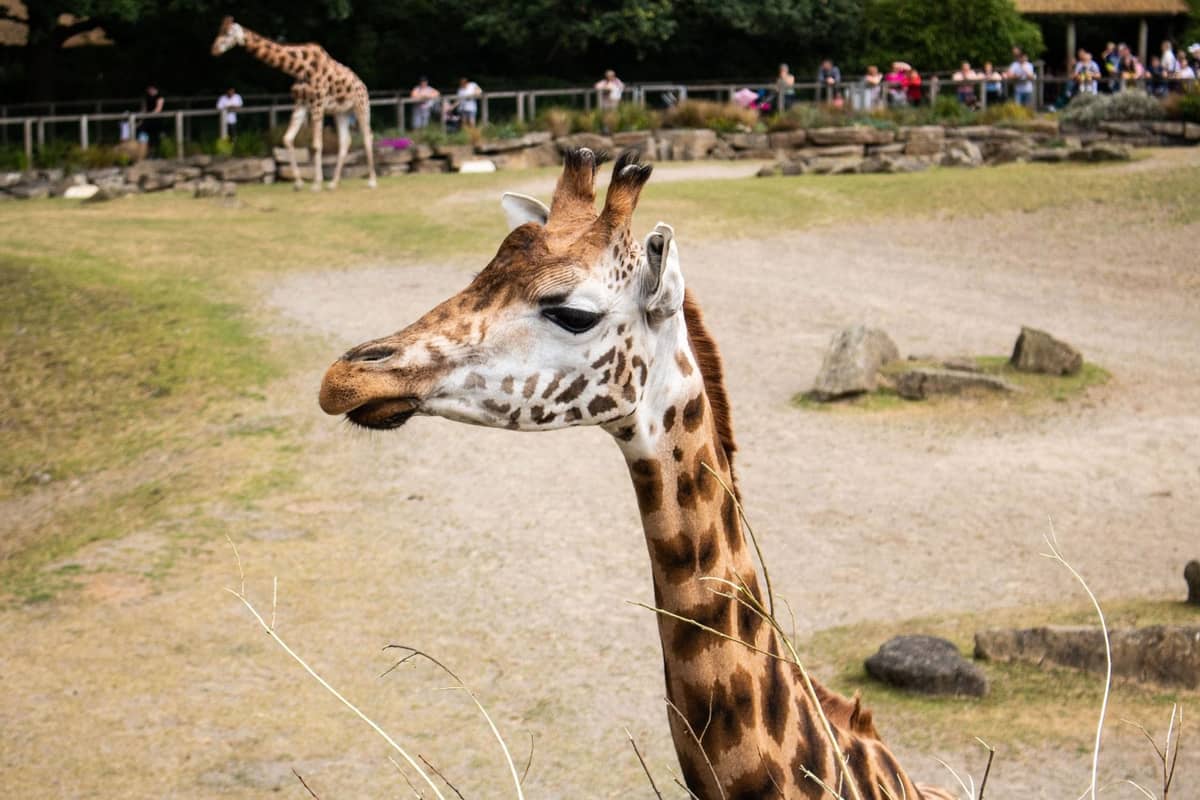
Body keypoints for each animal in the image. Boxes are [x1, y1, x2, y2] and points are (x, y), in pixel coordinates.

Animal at [210, 16, 377, 191]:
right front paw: (298, 182)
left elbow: (316, 144)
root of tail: (363, 85)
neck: (298, 67)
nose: (214, 49)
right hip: (341, 112)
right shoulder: (300, 103)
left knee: (368, 135)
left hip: (361, 106)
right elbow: (287, 139)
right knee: (345, 141)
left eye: (228, 33)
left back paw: (372, 181)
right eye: (219, 30)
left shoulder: (317, 103)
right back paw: (333, 183)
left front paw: (316, 183)